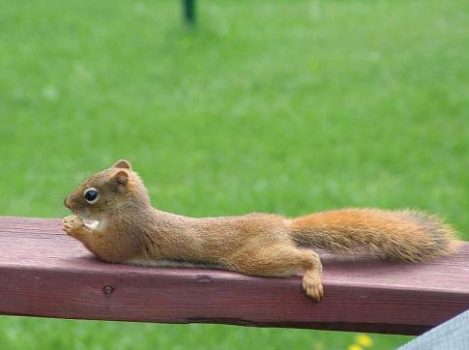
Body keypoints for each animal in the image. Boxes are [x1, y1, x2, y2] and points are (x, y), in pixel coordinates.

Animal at [62, 161, 458, 300]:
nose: (66, 202)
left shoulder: (127, 234)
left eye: (91, 194)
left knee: (308, 256)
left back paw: (312, 278)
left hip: (259, 257)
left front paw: (74, 226)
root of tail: (280, 225)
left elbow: (106, 249)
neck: (130, 208)